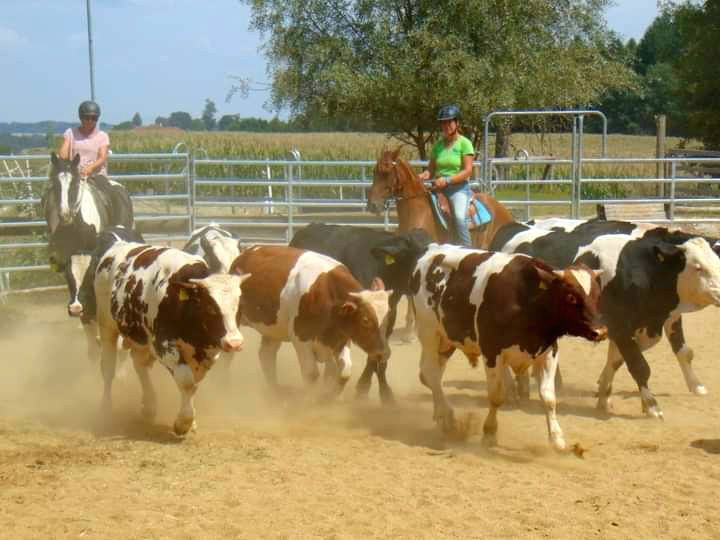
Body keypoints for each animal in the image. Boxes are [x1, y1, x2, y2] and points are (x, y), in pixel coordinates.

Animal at [231, 245, 390, 396]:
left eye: (388, 317)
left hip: (273, 329)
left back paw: (274, 391)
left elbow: (345, 372)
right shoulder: (300, 338)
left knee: (266, 355)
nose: (384, 353)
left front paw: (327, 397)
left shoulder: (341, 338)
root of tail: (244, 254)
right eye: (365, 320)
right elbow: (311, 375)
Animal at [288, 221, 434, 402]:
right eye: (419, 260)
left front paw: (381, 392)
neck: (383, 268)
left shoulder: (387, 318)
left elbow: (378, 355)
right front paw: (366, 388)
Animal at [410, 243, 608, 450]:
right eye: (570, 296)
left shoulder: (548, 353)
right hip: (429, 333)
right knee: (431, 374)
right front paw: (489, 434)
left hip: (447, 341)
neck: (528, 300)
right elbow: (496, 396)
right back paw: (447, 416)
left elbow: (549, 398)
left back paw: (441, 416)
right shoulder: (491, 353)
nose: (600, 331)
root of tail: (432, 250)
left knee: (431, 375)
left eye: (597, 295)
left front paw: (557, 439)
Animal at [490, 219, 720, 418]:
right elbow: (639, 365)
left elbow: (673, 353)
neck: (640, 270)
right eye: (698, 267)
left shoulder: (658, 320)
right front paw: (652, 406)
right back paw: (511, 390)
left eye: (717, 264)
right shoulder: (621, 326)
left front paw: (604, 396)